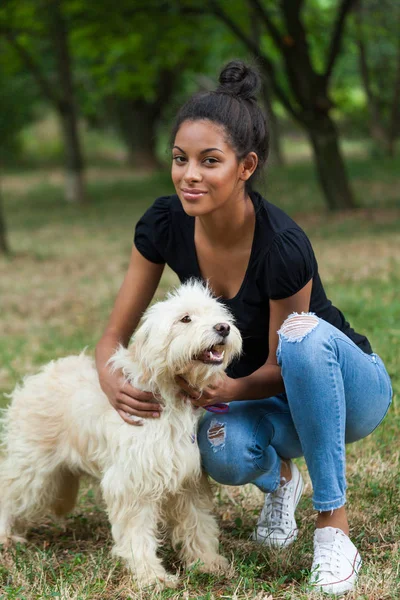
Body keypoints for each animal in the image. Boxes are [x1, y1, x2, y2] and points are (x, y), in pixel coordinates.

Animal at [0, 280, 241, 584]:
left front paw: (208, 562)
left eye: (219, 314)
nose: (224, 328)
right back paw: (5, 536)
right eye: (185, 318)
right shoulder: (132, 483)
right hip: (32, 470)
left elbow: (199, 523)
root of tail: (35, 378)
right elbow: (137, 532)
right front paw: (152, 575)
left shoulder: (189, 479)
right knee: (8, 490)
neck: (168, 394)